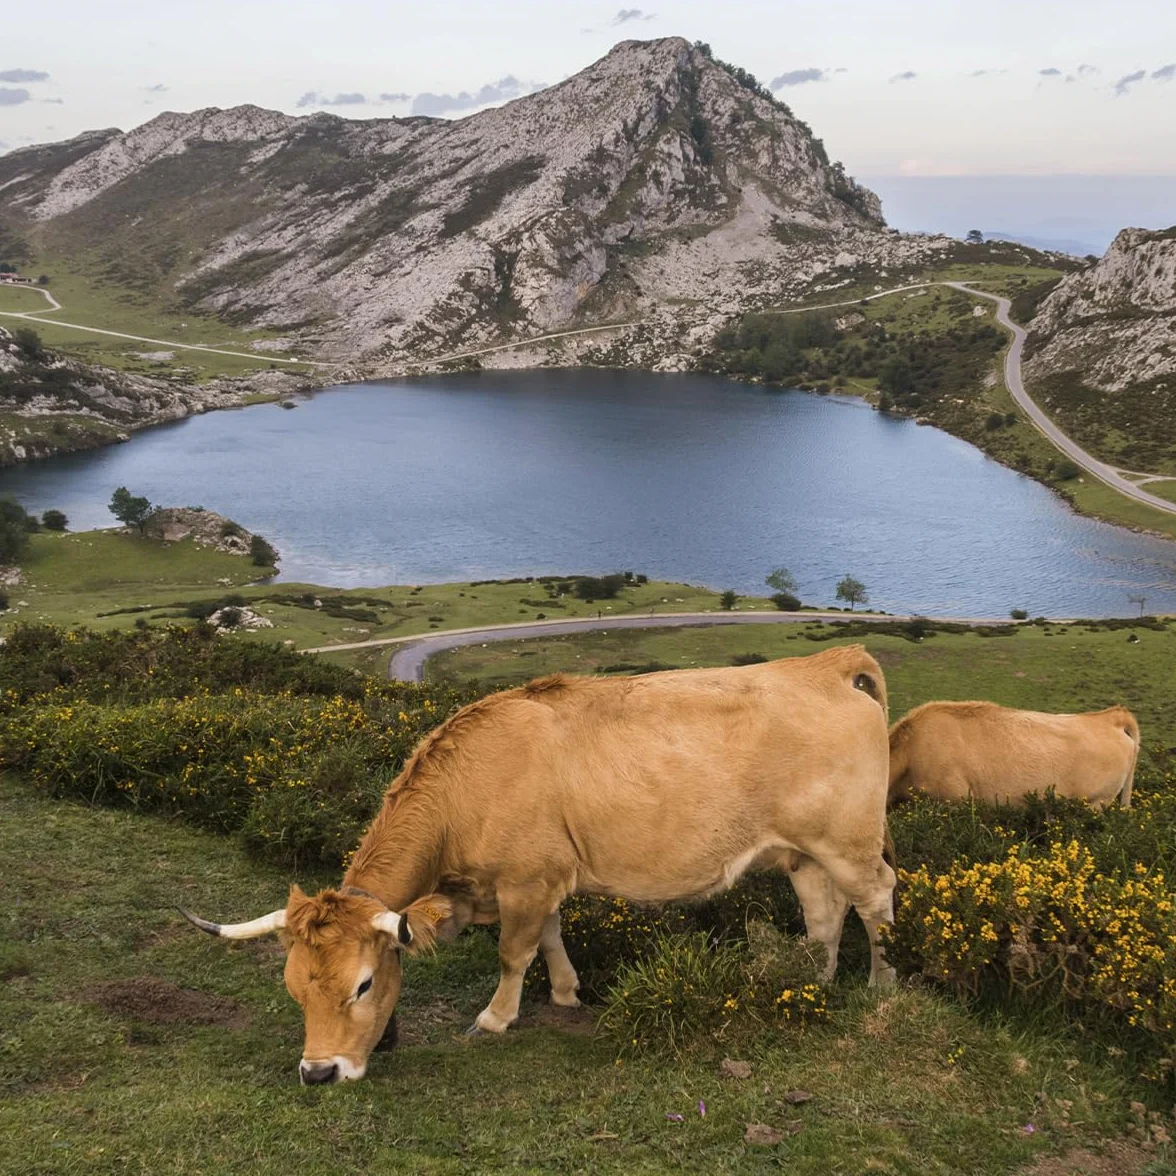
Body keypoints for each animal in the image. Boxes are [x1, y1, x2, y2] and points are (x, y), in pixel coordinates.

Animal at [181, 644, 896, 1084]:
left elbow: (513, 952)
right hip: (803, 852)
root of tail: (829, 664)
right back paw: (814, 981)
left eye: (362, 985)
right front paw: (567, 990)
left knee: (875, 899)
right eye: (293, 987)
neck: (466, 787)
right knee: (824, 914)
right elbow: (550, 937)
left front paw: (496, 1018)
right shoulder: (539, 879)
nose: (319, 1071)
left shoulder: (524, 882)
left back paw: (880, 985)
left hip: (849, 844)